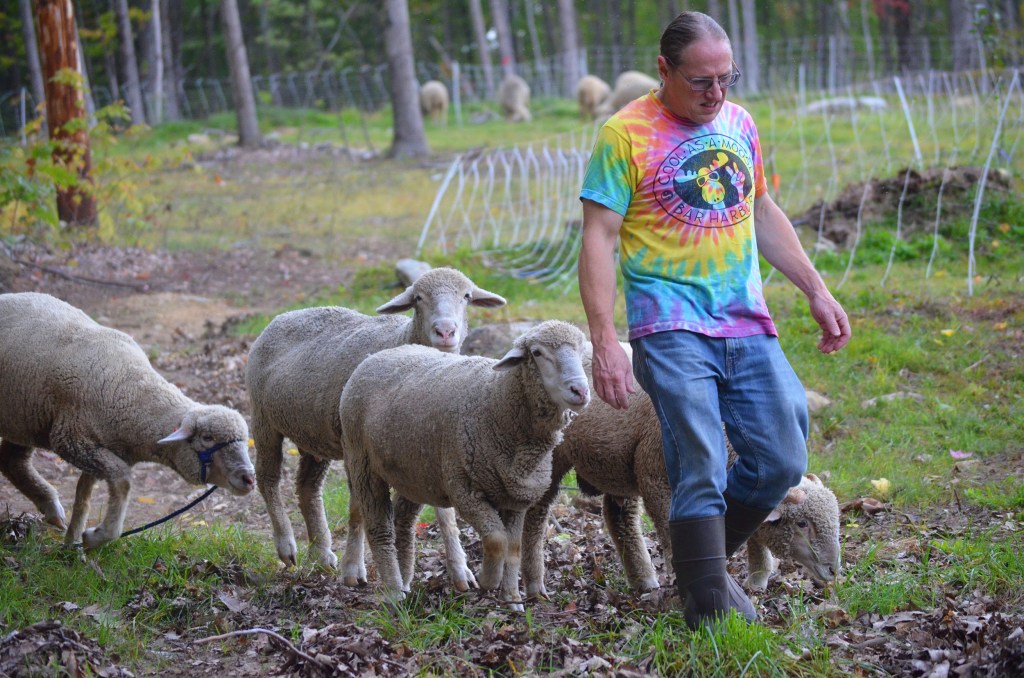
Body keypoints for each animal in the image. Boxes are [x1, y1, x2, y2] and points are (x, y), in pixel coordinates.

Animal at [0, 292, 255, 549]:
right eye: (207, 438)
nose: (249, 478)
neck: (130, 394)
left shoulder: (95, 447)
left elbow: (83, 495)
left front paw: (73, 545)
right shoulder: (71, 439)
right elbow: (122, 482)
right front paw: (97, 536)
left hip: (26, 416)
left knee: (12, 461)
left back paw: (51, 509)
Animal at [245, 267, 506, 589]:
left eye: (467, 296)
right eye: (418, 298)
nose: (445, 331)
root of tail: (284, 316)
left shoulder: (430, 444)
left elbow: (445, 513)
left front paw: (460, 571)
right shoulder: (356, 445)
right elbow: (358, 508)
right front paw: (353, 569)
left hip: (314, 434)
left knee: (307, 487)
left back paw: (321, 553)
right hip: (263, 417)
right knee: (267, 479)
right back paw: (287, 546)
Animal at [340, 320, 591, 608]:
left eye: (581, 351)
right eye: (537, 353)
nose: (581, 391)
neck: (497, 401)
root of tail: (374, 357)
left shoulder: (515, 497)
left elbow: (513, 548)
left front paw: (512, 598)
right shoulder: (465, 490)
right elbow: (497, 540)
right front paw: (488, 580)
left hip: (414, 472)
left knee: (403, 521)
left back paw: (405, 581)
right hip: (362, 462)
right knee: (378, 527)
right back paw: (393, 590)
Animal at [521, 342, 841, 598]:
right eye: (802, 524)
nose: (833, 571)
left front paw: (758, 579)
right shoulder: (656, 478)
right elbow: (672, 529)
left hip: (619, 464)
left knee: (619, 518)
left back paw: (643, 580)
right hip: (553, 455)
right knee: (536, 513)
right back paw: (535, 583)